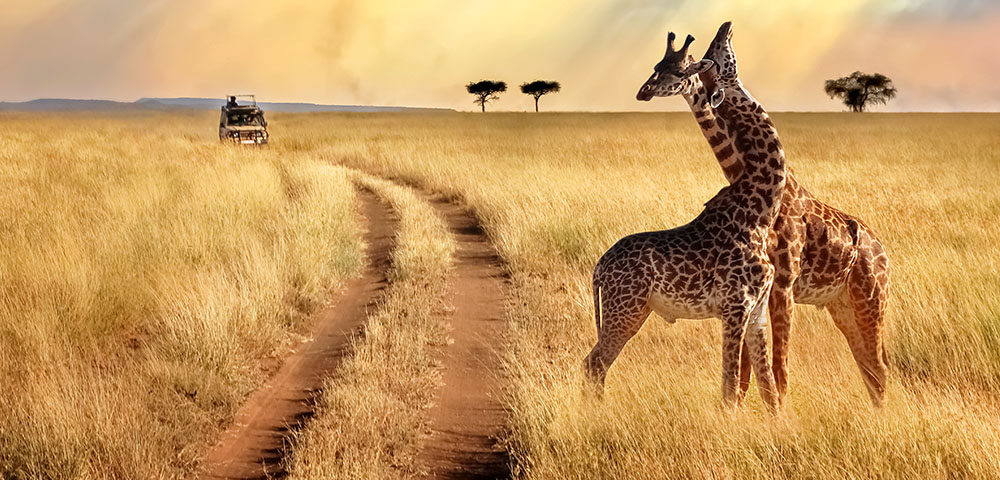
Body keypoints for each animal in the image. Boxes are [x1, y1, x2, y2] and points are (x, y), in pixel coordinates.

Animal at [584, 25, 788, 412]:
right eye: (715, 57)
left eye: (683, 66)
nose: (726, 26)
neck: (760, 210)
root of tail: (599, 268)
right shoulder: (735, 307)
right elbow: (729, 389)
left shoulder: (756, 311)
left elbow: (768, 390)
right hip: (625, 309)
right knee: (594, 363)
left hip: (633, 310)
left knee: (594, 363)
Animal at [640, 21, 892, 404]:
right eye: (658, 66)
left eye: (681, 67)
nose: (644, 91)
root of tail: (883, 252)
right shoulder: (758, 291)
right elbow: (750, 370)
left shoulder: (782, 284)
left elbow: (776, 368)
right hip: (842, 305)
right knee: (869, 366)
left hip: (871, 299)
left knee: (878, 367)